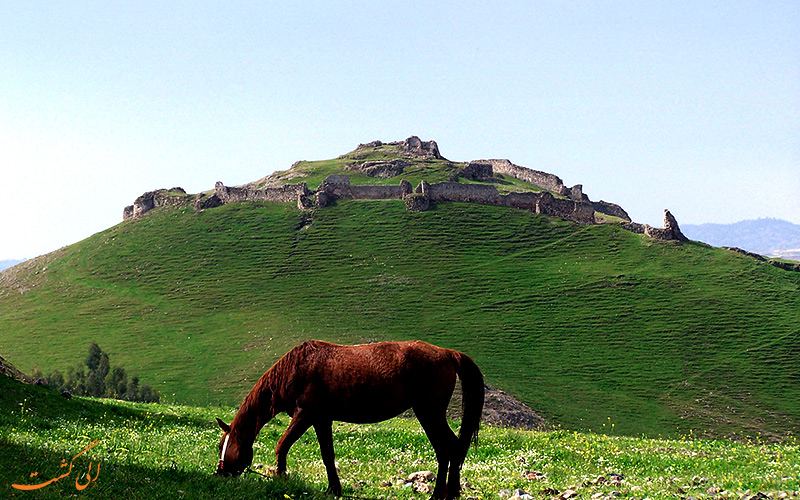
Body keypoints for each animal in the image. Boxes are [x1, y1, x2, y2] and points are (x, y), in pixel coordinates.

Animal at [216, 338, 484, 498]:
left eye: (225, 446)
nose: (219, 473)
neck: (296, 369)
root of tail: (448, 353)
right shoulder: (321, 419)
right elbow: (327, 455)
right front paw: (333, 489)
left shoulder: (305, 415)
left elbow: (282, 445)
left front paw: (282, 479)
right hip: (431, 414)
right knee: (454, 447)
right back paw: (452, 491)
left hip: (429, 413)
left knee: (445, 449)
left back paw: (439, 494)